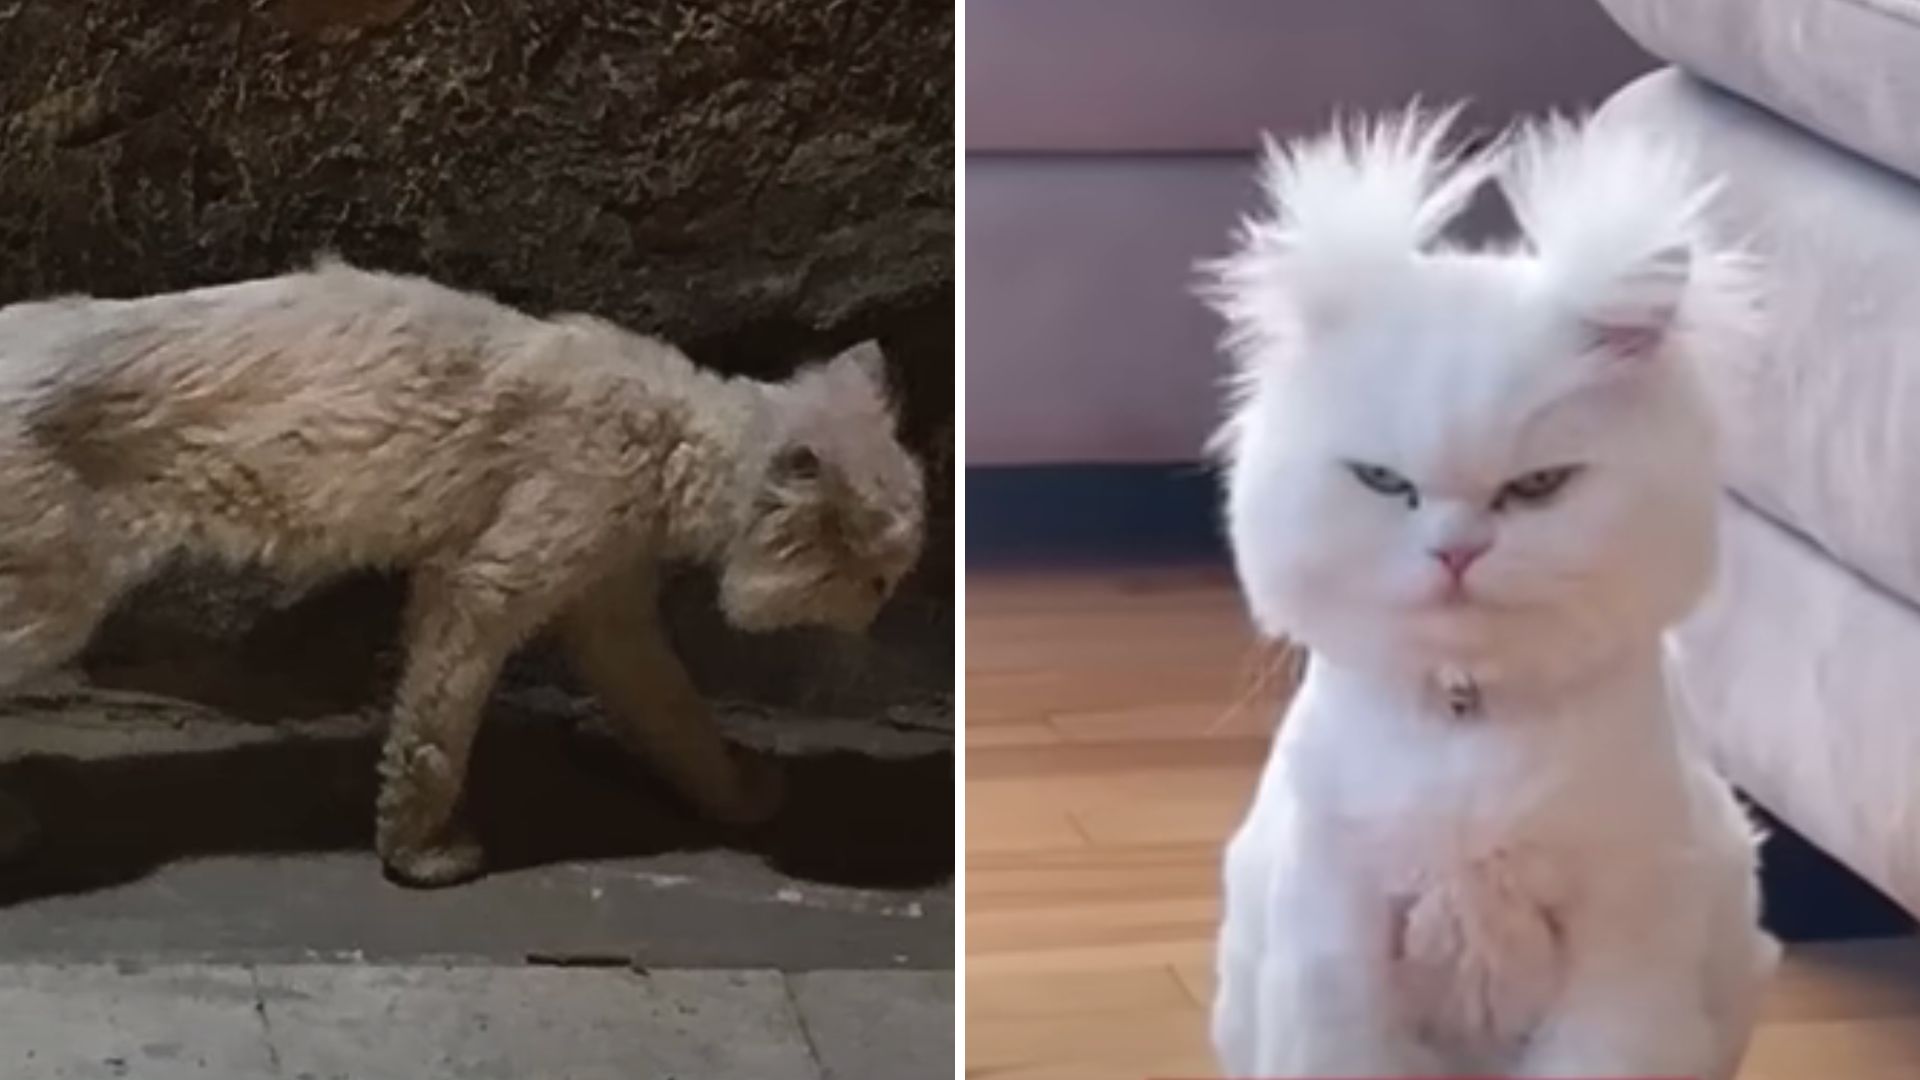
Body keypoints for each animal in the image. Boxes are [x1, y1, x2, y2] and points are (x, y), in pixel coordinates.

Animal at [0, 261, 921, 883]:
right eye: (877, 582)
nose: (880, 620)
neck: (675, 437)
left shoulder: (607, 611)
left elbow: (677, 715)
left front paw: (739, 798)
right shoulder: (487, 584)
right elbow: (435, 733)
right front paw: (421, 854)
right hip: (51, 599)